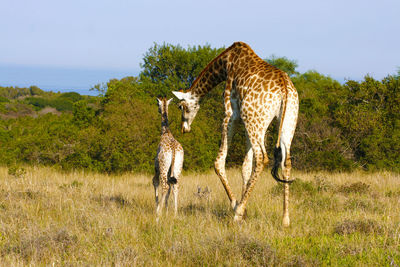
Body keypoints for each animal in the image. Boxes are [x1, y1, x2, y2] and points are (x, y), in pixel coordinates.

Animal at [172, 41, 296, 226]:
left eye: (181, 106)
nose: (184, 128)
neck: (225, 65)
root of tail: (284, 89)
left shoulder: (230, 115)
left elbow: (219, 162)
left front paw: (237, 205)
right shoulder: (245, 123)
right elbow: (245, 167)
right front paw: (245, 210)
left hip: (256, 122)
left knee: (262, 158)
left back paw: (237, 212)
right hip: (284, 122)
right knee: (286, 162)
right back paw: (285, 218)